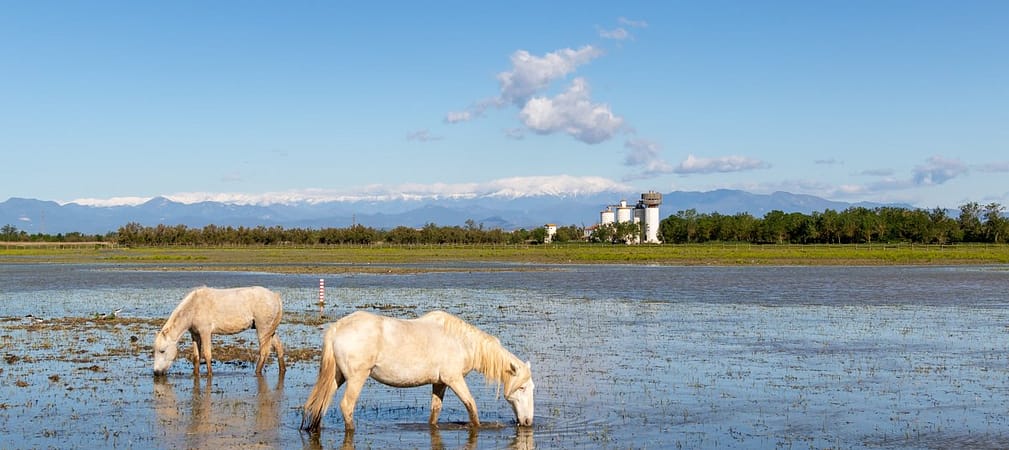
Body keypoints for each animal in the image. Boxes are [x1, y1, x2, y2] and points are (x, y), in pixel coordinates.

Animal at [152, 286, 286, 377]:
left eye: (162, 351)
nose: (156, 372)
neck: (194, 307)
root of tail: (275, 296)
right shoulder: (195, 335)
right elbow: (196, 357)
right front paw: (195, 374)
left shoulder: (205, 333)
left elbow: (207, 355)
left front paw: (209, 375)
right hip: (270, 331)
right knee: (279, 348)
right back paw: (282, 370)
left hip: (263, 330)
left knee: (264, 352)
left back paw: (257, 371)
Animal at [301, 310, 535, 432]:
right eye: (522, 388)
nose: (527, 422)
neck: (461, 342)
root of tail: (337, 328)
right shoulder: (454, 379)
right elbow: (471, 406)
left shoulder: (439, 383)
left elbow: (435, 411)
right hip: (357, 378)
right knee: (346, 406)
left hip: (336, 377)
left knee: (320, 404)